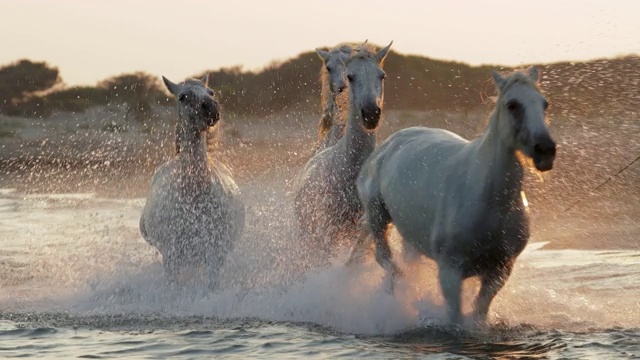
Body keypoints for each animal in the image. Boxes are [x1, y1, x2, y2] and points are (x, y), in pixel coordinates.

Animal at [140, 74, 245, 280]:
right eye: (182, 96)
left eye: (211, 92)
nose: (211, 108)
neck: (194, 197)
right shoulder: (172, 259)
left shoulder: (215, 257)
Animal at [356, 67, 556, 324]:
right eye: (512, 104)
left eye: (544, 103)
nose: (546, 151)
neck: (489, 200)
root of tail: (389, 142)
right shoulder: (450, 271)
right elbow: (455, 320)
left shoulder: (499, 271)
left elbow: (479, 313)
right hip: (377, 218)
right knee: (386, 262)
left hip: (411, 239)